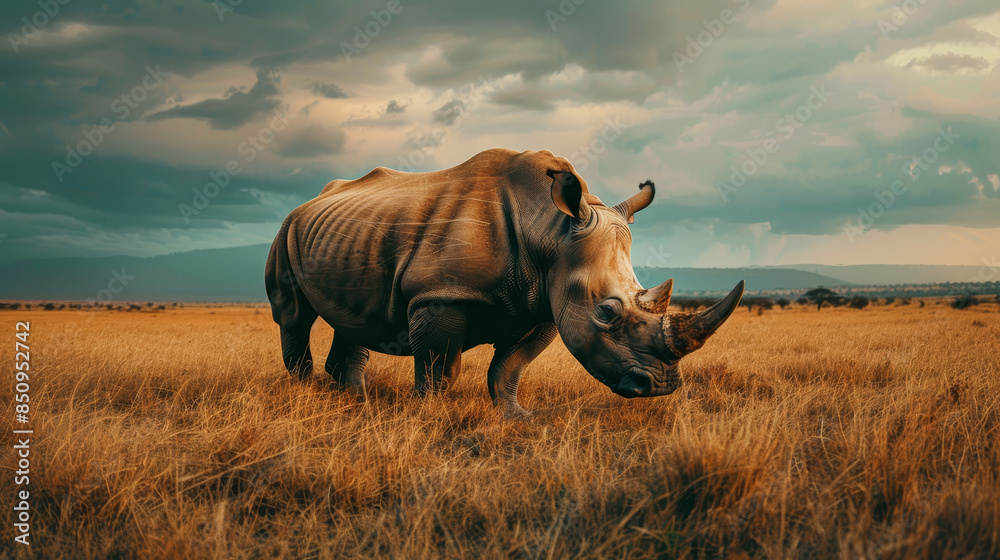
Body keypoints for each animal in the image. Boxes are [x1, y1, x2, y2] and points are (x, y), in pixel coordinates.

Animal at [265, 148, 744, 417]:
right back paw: (305, 394)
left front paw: (518, 416)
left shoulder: (543, 302)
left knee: (356, 317)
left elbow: (510, 367)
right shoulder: (441, 296)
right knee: (294, 315)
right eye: (606, 311)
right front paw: (430, 416)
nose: (659, 387)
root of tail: (313, 200)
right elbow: (441, 368)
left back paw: (356, 400)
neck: (551, 230)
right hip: (286, 229)